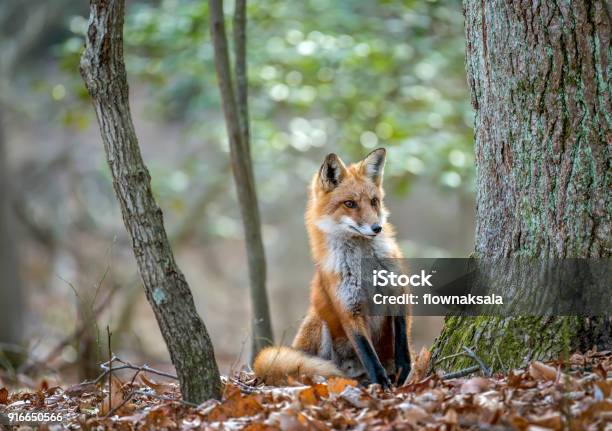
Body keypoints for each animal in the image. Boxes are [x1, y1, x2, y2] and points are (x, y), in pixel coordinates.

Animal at [253, 148, 412, 388]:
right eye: (350, 204)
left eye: (374, 201)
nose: (377, 228)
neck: (366, 268)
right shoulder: (349, 307)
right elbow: (367, 352)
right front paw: (381, 383)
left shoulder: (398, 291)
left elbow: (402, 338)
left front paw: (403, 367)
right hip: (319, 322)